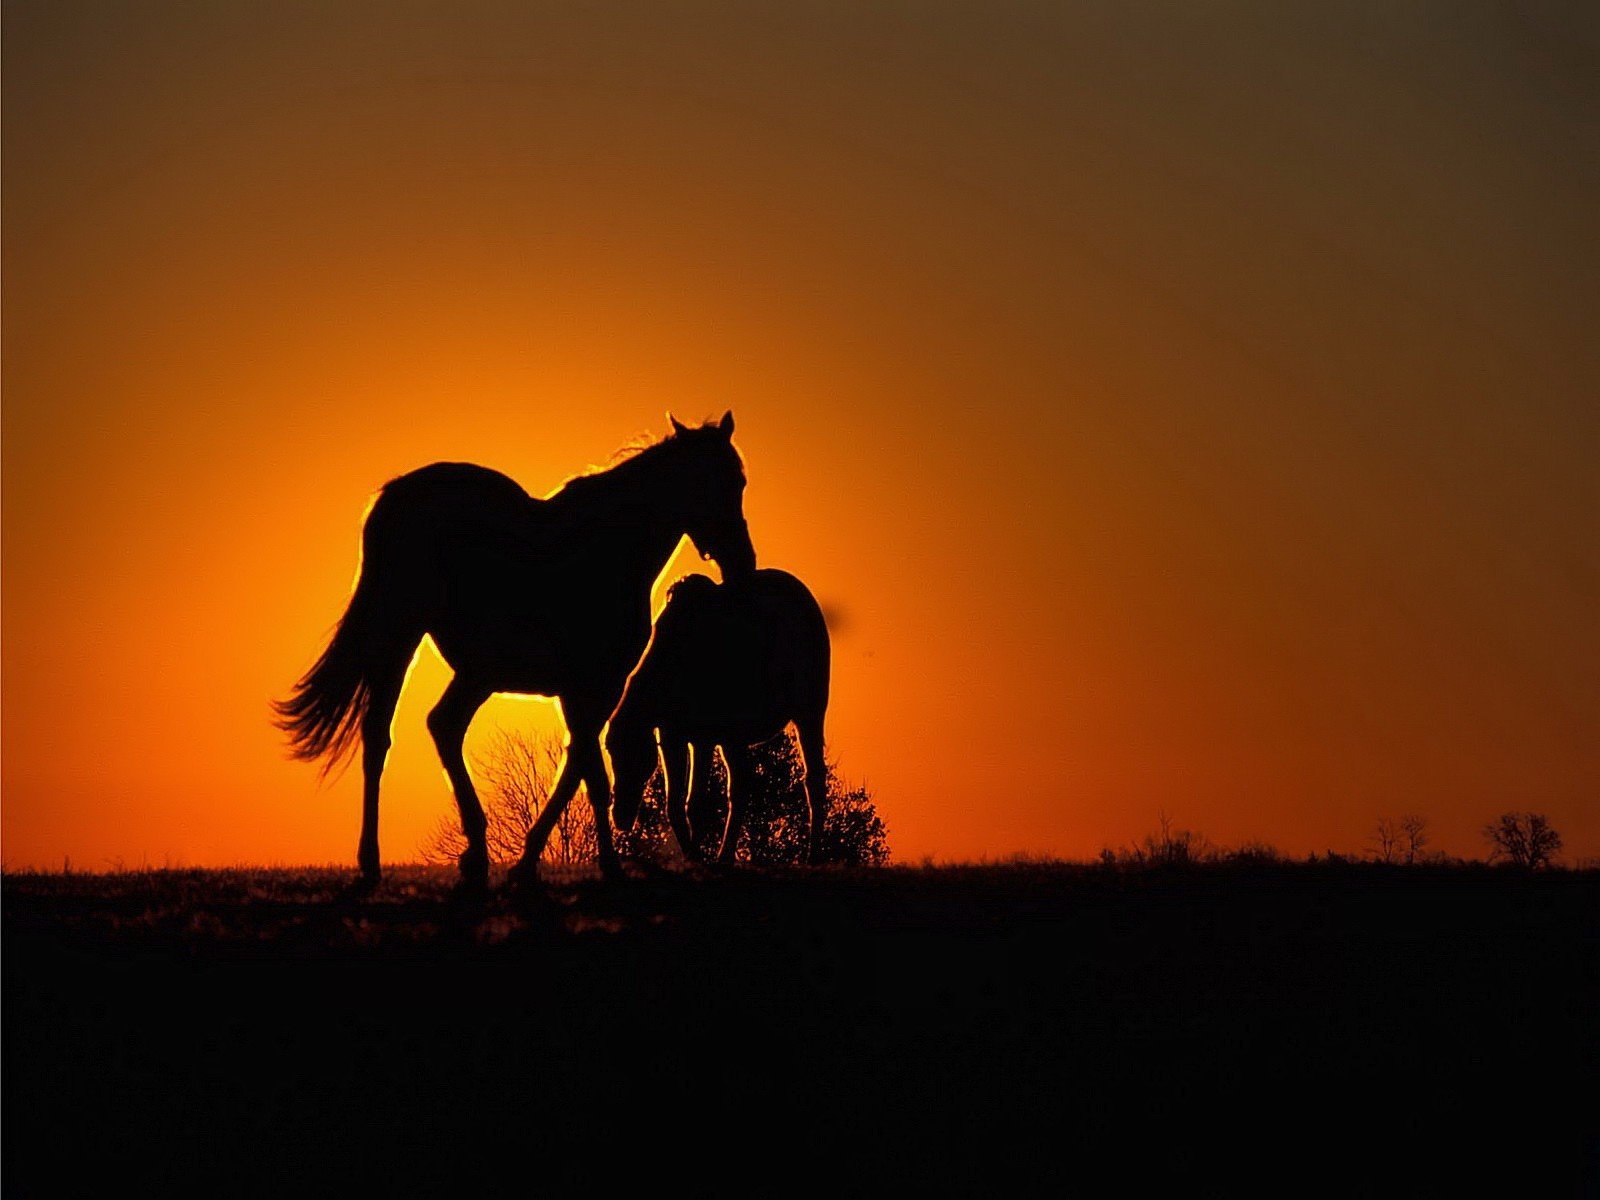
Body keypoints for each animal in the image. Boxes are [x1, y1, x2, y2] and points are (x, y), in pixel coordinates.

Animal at [272, 412, 756, 890]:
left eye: (740, 480)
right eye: (716, 481)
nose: (742, 563)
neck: (608, 555)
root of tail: (393, 496)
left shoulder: (579, 692)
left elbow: (577, 767)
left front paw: (533, 860)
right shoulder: (596, 686)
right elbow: (591, 773)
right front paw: (602, 864)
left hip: (474, 672)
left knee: (437, 726)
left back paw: (472, 855)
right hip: (404, 637)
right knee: (385, 735)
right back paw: (377, 861)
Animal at [607, 569, 831, 864]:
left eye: (633, 756)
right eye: (610, 752)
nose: (619, 816)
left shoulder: (705, 736)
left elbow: (696, 804)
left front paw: (697, 856)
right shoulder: (673, 735)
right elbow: (675, 805)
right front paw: (693, 856)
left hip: (809, 711)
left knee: (812, 779)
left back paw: (812, 855)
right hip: (734, 737)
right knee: (740, 787)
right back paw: (725, 855)